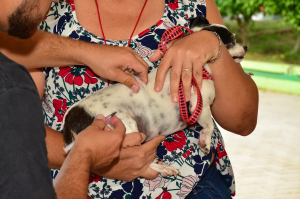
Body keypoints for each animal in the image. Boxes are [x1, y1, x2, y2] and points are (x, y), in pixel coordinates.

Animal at [62, 16, 247, 176]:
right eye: (232, 40)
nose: (246, 47)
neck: (201, 69)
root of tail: (69, 119)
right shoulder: (198, 105)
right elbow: (209, 127)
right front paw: (205, 142)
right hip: (124, 126)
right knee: (138, 159)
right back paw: (163, 168)